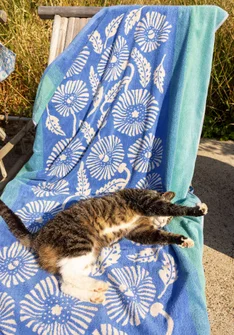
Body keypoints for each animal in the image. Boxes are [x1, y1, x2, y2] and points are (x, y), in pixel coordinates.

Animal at [0, 189, 208, 304]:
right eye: (169, 217)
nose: (164, 221)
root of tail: (37, 236)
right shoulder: (146, 201)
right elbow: (175, 207)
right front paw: (197, 210)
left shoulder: (141, 232)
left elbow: (162, 236)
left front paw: (183, 240)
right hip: (81, 242)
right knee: (67, 276)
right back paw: (97, 285)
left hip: (88, 255)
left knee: (65, 283)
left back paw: (94, 294)